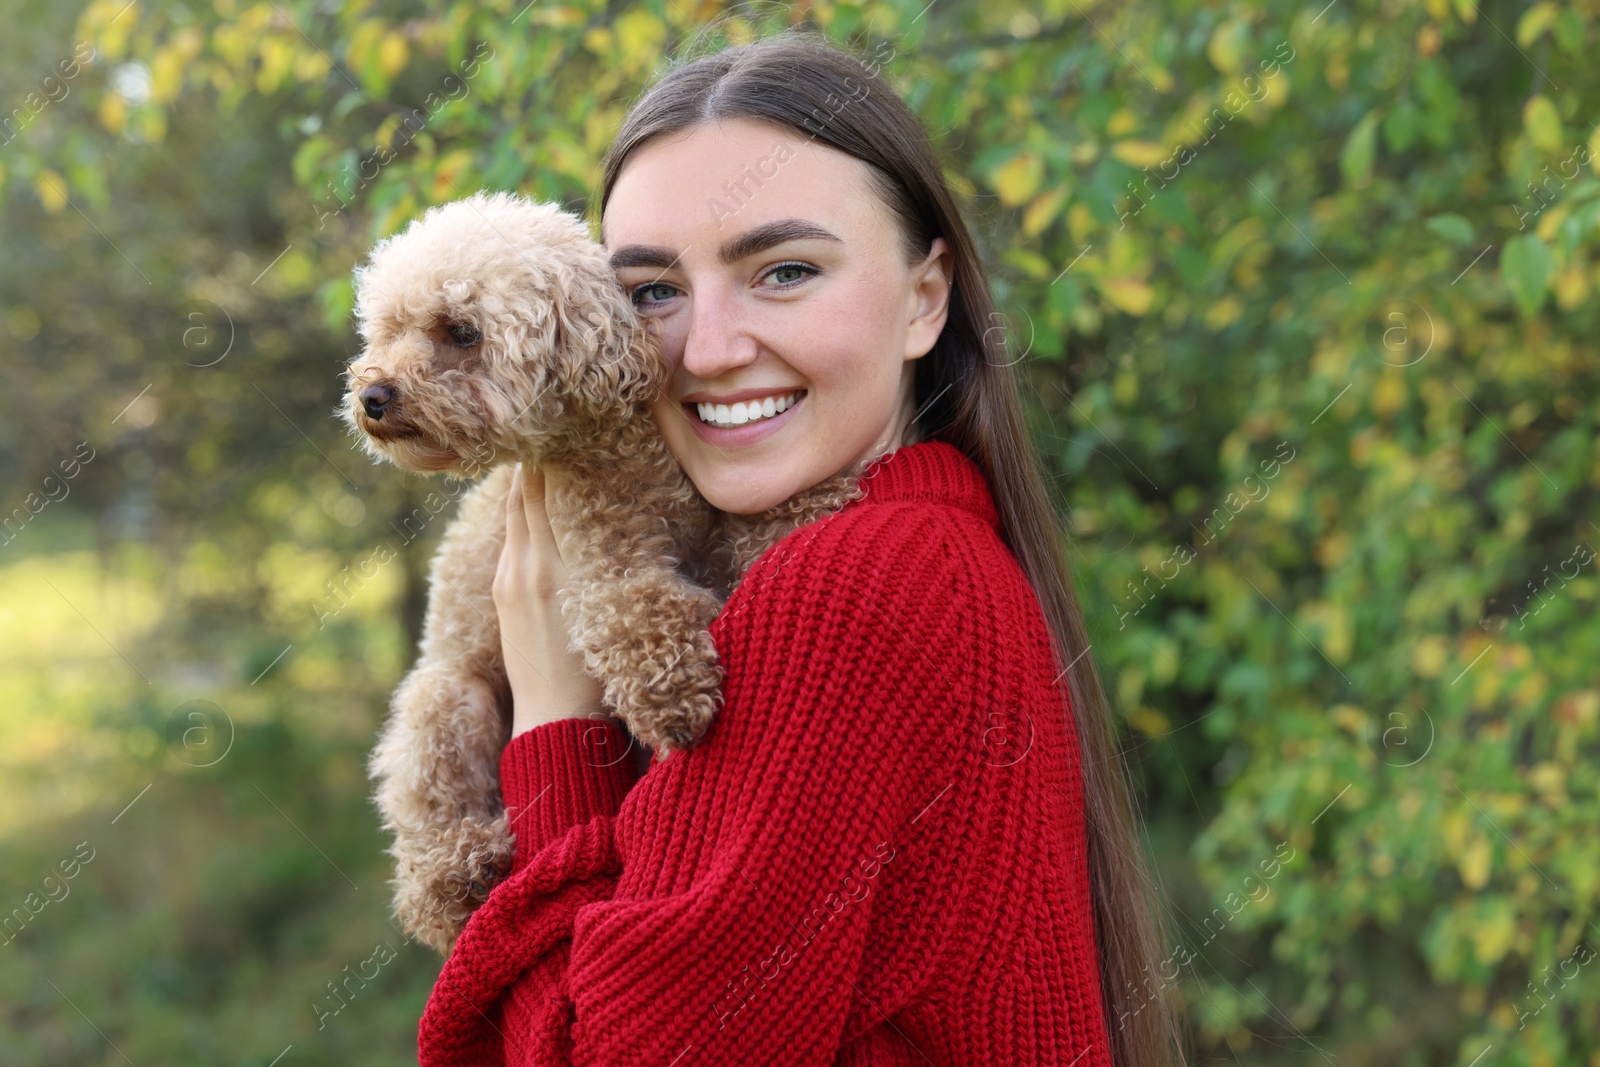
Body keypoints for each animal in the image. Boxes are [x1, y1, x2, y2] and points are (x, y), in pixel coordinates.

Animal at [337, 194, 864, 959]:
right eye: (388, 331)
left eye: (460, 331)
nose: (372, 395)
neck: (623, 440)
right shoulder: (598, 560)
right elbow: (635, 606)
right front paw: (672, 695)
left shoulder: (717, 519)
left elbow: (762, 522)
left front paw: (825, 494)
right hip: (447, 700)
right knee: (425, 825)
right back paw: (457, 875)